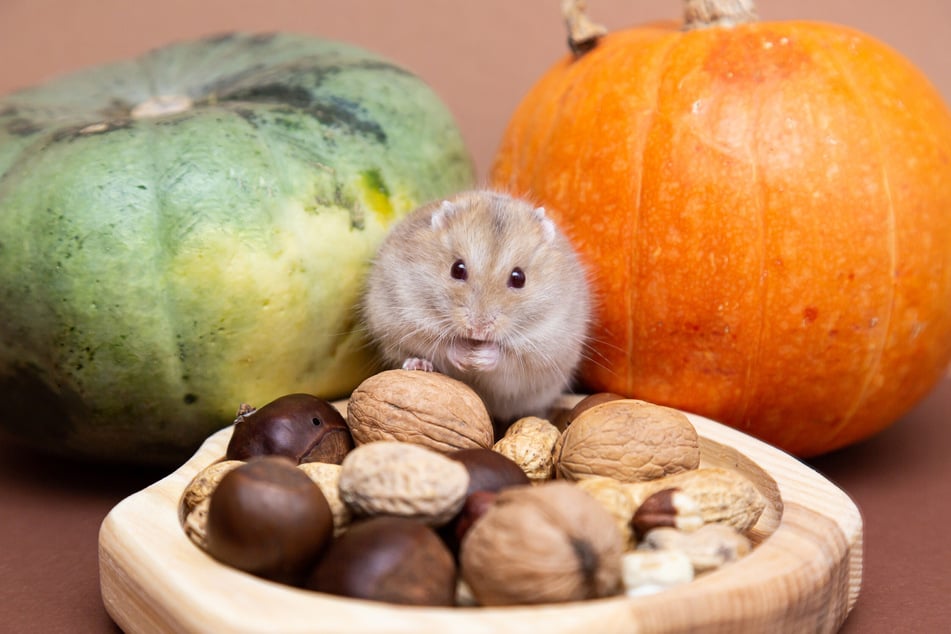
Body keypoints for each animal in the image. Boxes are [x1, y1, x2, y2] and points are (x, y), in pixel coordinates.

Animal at [362, 189, 592, 425]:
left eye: (519, 278)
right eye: (457, 269)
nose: (478, 330)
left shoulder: (542, 351)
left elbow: (507, 358)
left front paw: (478, 357)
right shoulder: (406, 316)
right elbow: (441, 344)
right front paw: (466, 355)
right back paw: (418, 364)